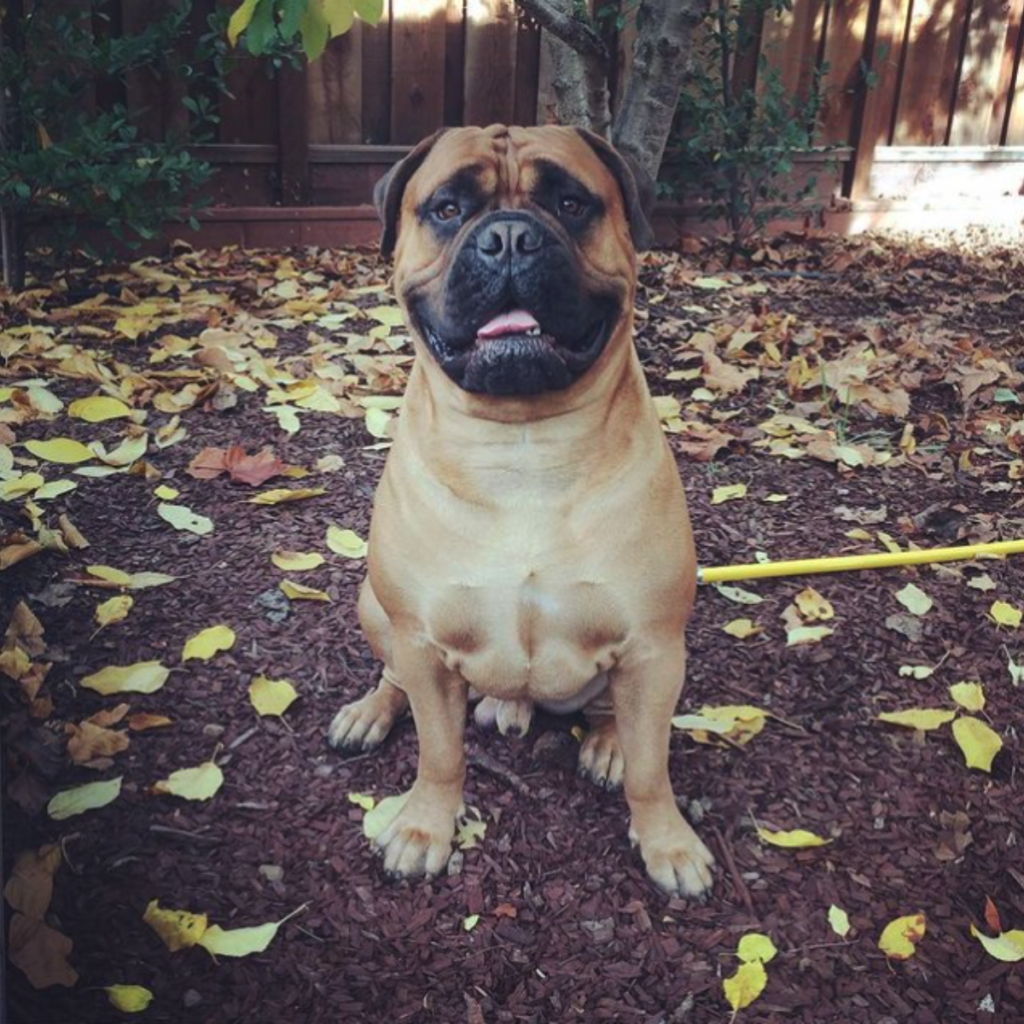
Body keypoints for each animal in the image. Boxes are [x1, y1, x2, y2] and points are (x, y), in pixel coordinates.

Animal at [331, 125, 716, 897]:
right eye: (447, 208)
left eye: (571, 203)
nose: (508, 237)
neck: (524, 443)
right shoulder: (421, 642)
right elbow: (439, 752)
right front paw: (424, 827)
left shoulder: (656, 647)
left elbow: (653, 765)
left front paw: (667, 841)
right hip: (373, 607)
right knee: (396, 678)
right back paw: (377, 711)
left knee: (611, 712)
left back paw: (603, 741)